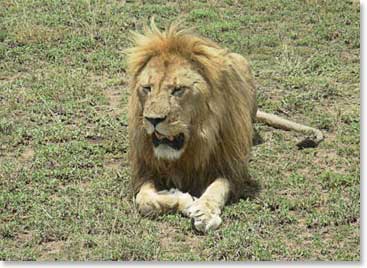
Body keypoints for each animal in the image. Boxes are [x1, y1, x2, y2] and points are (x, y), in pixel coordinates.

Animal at [125, 19, 324, 232]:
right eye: (147, 88)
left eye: (178, 90)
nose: (152, 119)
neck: (191, 147)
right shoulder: (146, 169)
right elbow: (144, 201)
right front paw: (182, 199)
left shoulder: (231, 167)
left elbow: (217, 188)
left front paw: (204, 212)